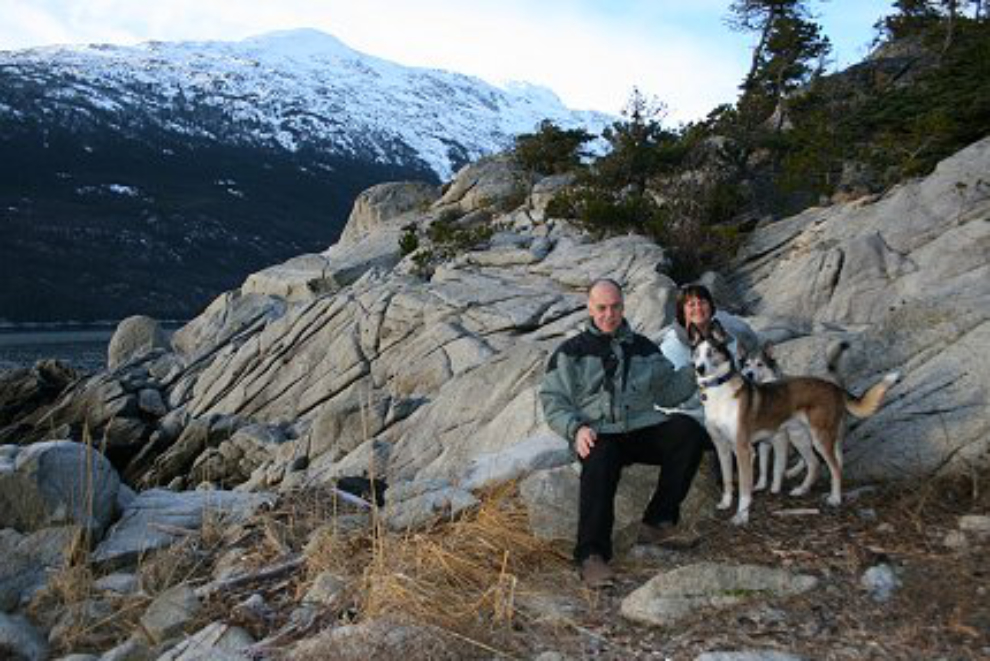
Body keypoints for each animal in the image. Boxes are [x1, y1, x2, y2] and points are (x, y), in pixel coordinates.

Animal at [688, 320, 900, 524]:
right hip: (800, 437)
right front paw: (725, 503)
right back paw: (802, 489)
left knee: (834, 467)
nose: (699, 368)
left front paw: (741, 516)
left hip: (820, 438)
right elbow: (727, 480)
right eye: (696, 353)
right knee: (814, 464)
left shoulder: (743, 450)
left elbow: (746, 489)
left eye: (712, 352)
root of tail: (835, 387)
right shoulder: (722, 447)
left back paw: (835, 498)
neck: (719, 392)